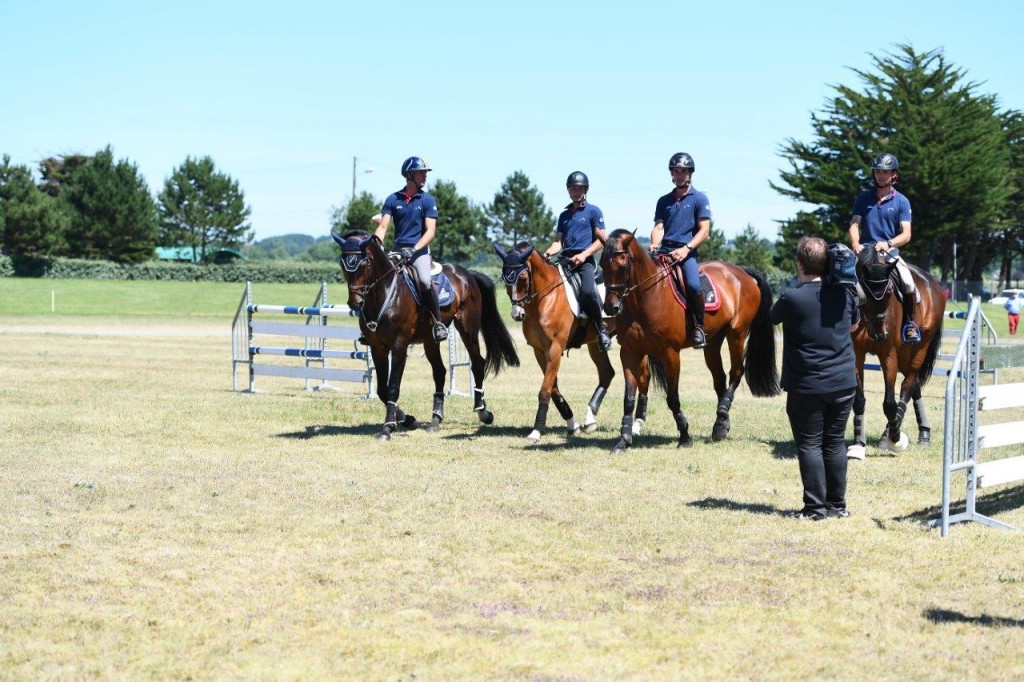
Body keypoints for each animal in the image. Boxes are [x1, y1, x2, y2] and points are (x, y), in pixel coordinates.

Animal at [331, 229, 520, 440]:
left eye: (364, 264)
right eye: (342, 264)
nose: (354, 302)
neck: (384, 293)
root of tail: (466, 274)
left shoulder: (399, 345)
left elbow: (392, 387)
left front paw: (388, 428)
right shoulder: (377, 348)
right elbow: (382, 390)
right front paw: (407, 420)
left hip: (467, 328)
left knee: (477, 363)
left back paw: (483, 412)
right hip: (430, 340)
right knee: (440, 371)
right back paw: (435, 419)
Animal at [487, 238, 647, 440]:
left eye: (522, 278)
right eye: (504, 277)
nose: (517, 314)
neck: (545, 298)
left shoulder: (555, 348)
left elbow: (545, 390)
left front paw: (536, 431)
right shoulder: (540, 351)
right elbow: (553, 388)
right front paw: (572, 424)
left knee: (644, 377)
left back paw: (637, 425)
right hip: (595, 344)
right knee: (607, 373)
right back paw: (590, 420)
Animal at [598, 225, 778, 454]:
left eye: (622, 265)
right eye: (602, 264)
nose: (611, 307)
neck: (645, 299)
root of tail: (740, 271)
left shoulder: (670, 353)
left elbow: (672, 398)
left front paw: (684, 436)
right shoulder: (629, 353)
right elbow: (628, 399)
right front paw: (623, 441)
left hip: (736, 334)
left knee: (736, 373)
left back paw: (721, 418)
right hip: (713, 342)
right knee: (719, 379)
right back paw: (721, 424)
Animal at [847, 246, 942, 454]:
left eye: (890, 291)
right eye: (863, 292)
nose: (879, 334)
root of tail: (934, 284)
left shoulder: (888, 353)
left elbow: (890, 402)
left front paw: (894, 437)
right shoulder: (857, 353)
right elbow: (859, 400)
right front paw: (858, 442)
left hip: (919, 348)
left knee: (908, 384)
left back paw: (891, 434)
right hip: (905, 354)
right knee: (914, 384)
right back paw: (923, 432)